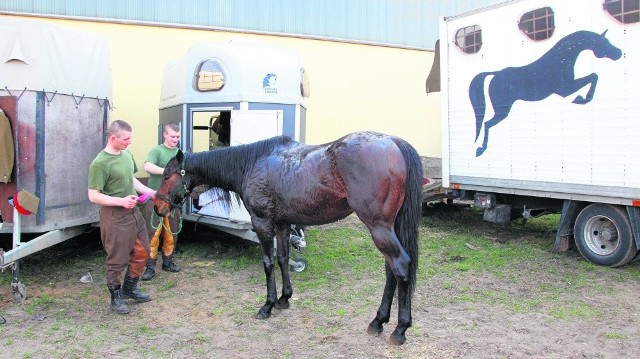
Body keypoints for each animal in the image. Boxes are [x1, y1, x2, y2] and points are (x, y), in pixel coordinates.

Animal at [154, 132, 424, 346]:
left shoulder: (262, 223)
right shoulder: (282, 225)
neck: (252, 163)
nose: (158, 207)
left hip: (379, 228)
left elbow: (268, 263)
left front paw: (268, 305)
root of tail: (394, 142)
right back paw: (378, 321)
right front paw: (285, 298)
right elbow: (283, 258)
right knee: (390, 270)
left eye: (167, 175)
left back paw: (400, 329)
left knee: (400, 266)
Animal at [470, 29, 620, 156]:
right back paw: (481, 149)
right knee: (487, 123)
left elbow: (593, 76)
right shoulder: (565, 89)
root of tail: (495, 74)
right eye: (603, 42)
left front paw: (581, 98)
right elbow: (593, 76)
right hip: (502, 110)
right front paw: (581, 99)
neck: (560, 60)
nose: (619, 53)